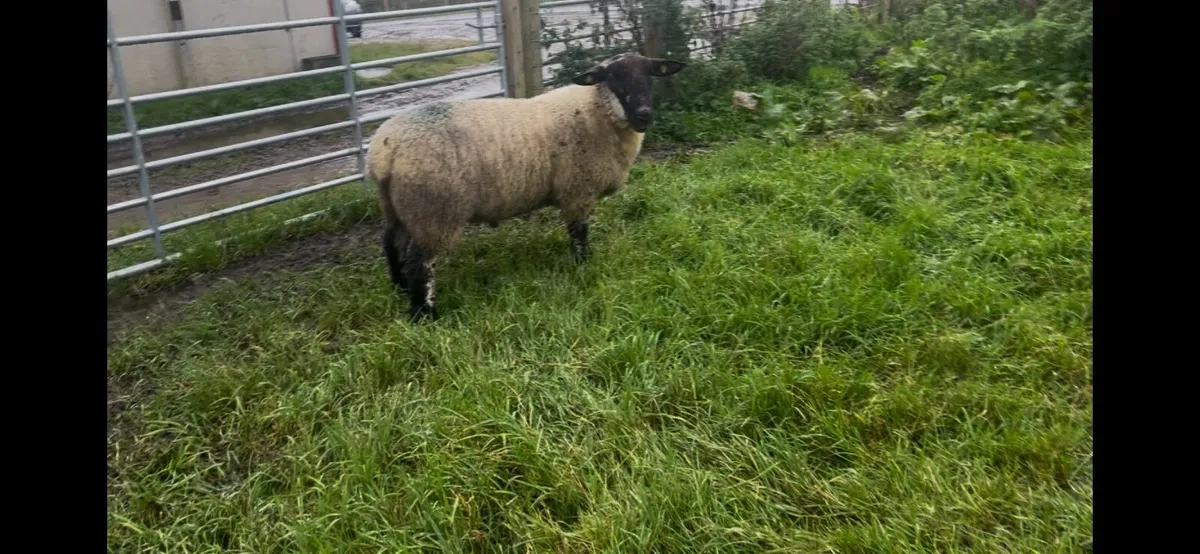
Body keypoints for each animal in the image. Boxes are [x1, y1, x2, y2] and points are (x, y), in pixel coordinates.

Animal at [366, 52, 686, 320]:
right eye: (613, 78)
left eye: (649, 76)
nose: (644, 115)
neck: (595, 111)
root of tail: (384, 151)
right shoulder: (578, 191)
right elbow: (579, 234)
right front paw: (583, 264)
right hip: (434, 211)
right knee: (420, 263)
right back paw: (425, 314)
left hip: (398, 208)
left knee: (392, 245)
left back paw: (400, 288)